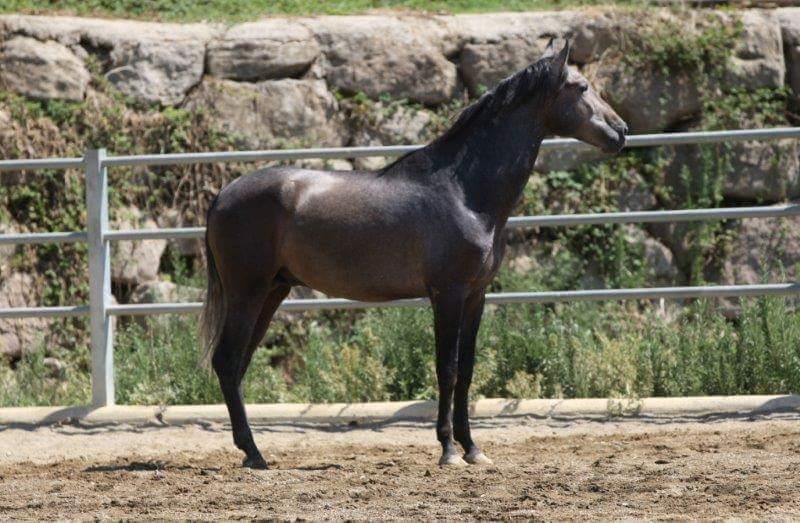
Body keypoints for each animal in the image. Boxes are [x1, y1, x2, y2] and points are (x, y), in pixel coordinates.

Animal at [200, 39, 628, 469]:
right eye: (581, 87)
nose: (621, 131)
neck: (464, 191)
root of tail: (223, 195)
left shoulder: (476, 296)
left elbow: (467, 371)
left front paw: (473, 448)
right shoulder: (448, 294)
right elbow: (447, 369)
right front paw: (448, 450)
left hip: (272, 291)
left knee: (237, 365)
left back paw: (251, 453)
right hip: (247, 292)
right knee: (226, 361)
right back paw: (254, 453)